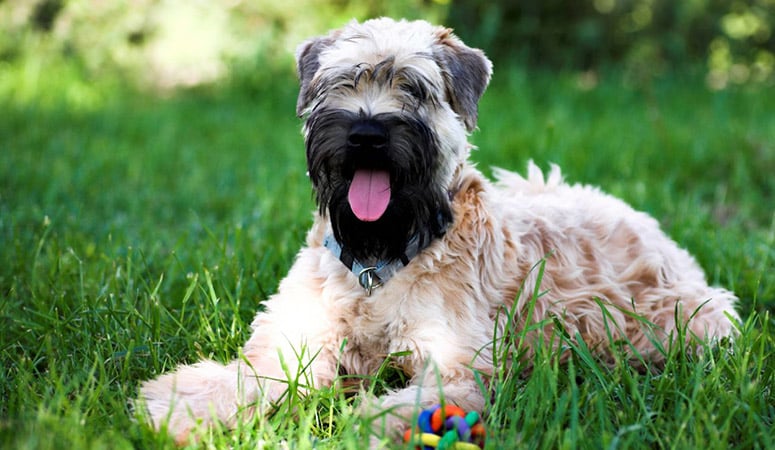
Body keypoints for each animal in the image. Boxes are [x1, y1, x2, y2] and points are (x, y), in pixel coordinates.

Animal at [138, 18, 740, 446]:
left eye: (415, 88)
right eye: (342, 81)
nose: (367, 133)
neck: (377, 262)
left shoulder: (453, 365)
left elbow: (401, 406)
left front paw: (357, 428)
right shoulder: (292, 339)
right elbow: (246, 377)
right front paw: (180, 410)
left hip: (693, 320)